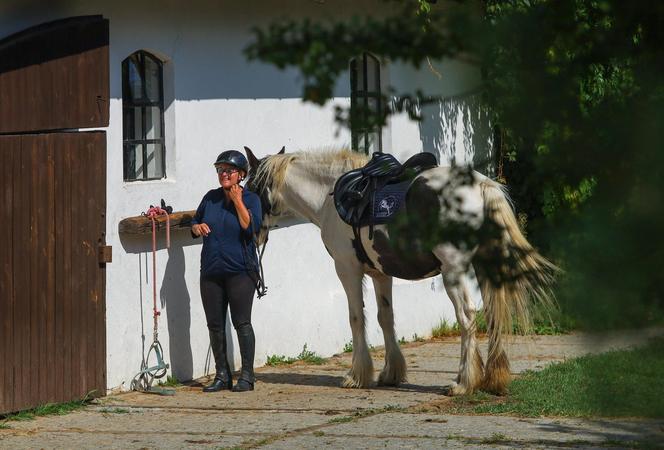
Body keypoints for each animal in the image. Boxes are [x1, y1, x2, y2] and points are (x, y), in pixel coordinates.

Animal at [244, 147, 556, 394]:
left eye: (250, 188)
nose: (251, 234)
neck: (328, 196)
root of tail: (481, 186)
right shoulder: (381, 273)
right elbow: (386, 317)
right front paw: (390, 373)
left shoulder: (347, 269)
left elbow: (356, 318)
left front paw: (357, 375)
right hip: (486, 266)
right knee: (492, 314)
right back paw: (493, 379)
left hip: (453, 271)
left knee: (467, 316)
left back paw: (463, 383)